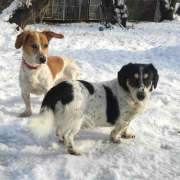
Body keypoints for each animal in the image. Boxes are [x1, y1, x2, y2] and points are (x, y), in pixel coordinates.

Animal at [29, 63, 159, 155]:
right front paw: (116, 138)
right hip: (76, 120)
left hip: (65, 118)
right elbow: (117, 130)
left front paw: (126, 134)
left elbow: (127, 127)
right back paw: (73, 150)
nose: (141, 95)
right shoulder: (122, 120)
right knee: (67, 135)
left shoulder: (128, 118)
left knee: (59, 131)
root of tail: (58, 88)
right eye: (132, 78)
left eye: (148, 79)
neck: (128, 93)